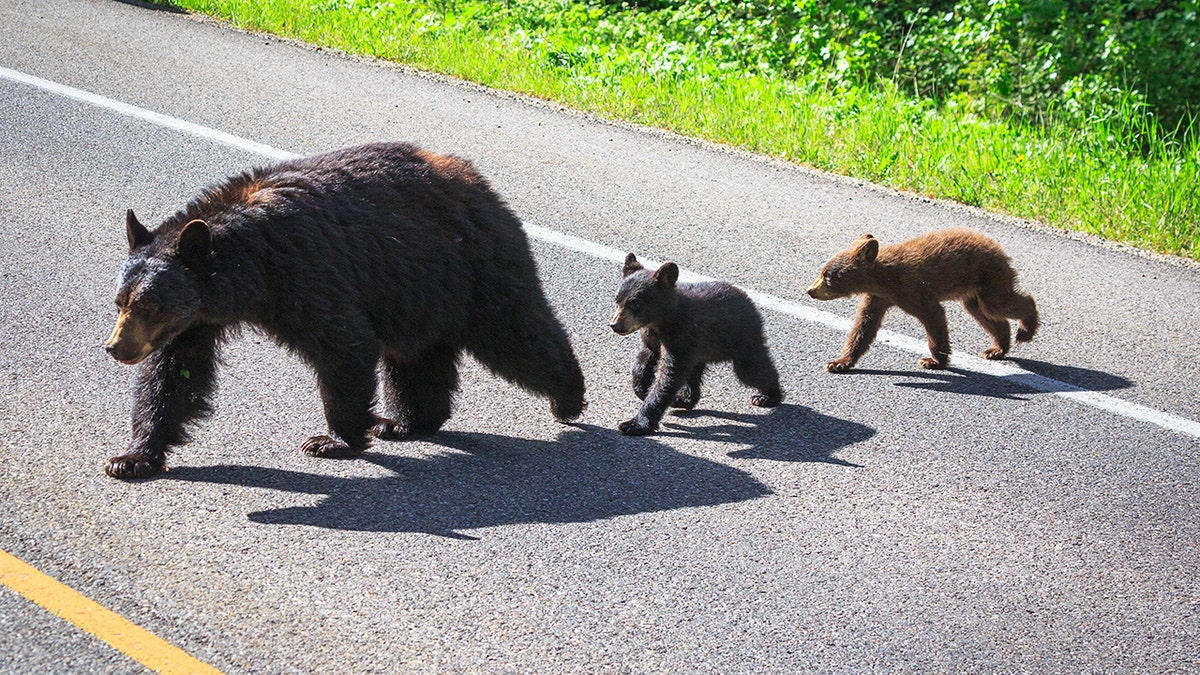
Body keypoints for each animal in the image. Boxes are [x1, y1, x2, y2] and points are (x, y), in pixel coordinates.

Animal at [105, 141, 583, 478]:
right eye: (121, 301)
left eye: (152, 304)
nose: (114, 348)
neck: (252, 264)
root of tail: (480, 180)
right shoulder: (196, 319)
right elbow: (174, 375)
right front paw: (132, 457)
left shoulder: (305, 270)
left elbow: (343, 343)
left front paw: (332, 439)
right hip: (416, 290)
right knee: (415, 358)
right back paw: (405, 423)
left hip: (473, 266)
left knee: (516, 330)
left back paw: (568, 398)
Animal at [609, 253, 787, 437]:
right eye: (617, 299)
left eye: (636, 303)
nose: (615, 325)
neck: (660, 321)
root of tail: (748, 300)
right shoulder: (652, 337)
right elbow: (644, 360)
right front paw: (641, 388)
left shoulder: (681, 336)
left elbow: (670, 375)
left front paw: (635, 424)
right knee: (694, 374)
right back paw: (682, 399)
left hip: (742, 338)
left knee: (751, 370)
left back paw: (768, 396)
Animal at [806, 228, 1041, 369]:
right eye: (822, 271)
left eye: (827, 276)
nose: (810, 290)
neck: (883, 279)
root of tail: (999, 248)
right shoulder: (877, 298)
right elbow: (864, 326)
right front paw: (839, 362)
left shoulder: (911, 288)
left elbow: (933, 315)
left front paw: (935, 360)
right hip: (974, 292)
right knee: (986, 313)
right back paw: (996, 349)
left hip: (990, 279)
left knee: (1002, 304)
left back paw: (1026, 330)